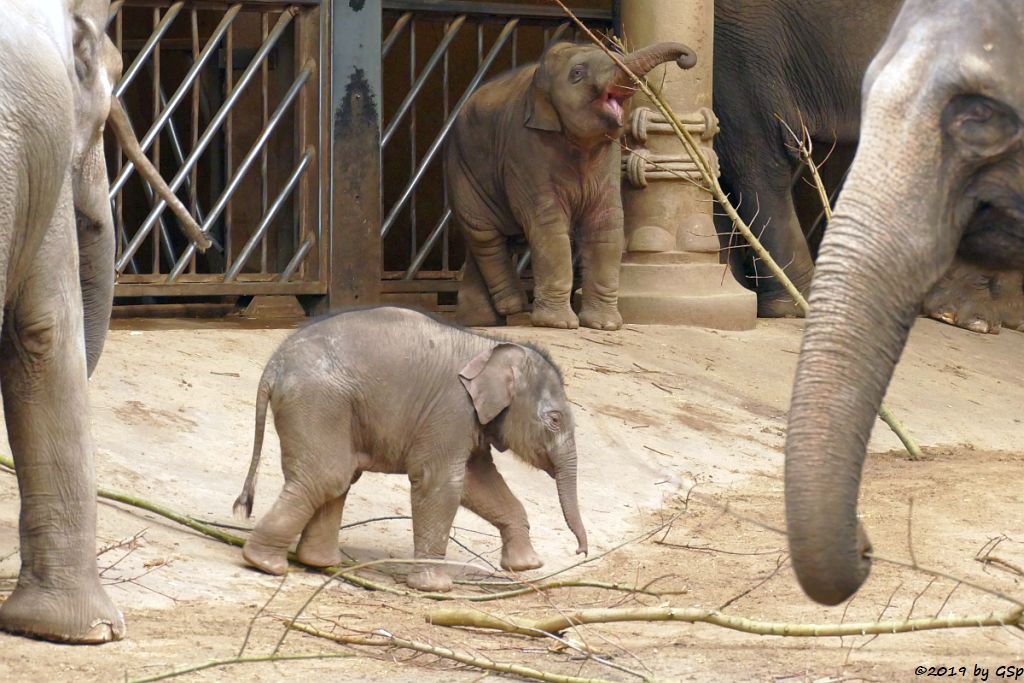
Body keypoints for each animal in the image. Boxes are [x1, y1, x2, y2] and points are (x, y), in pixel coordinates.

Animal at [232, 307, 585, 589]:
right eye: (554, 420)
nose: (580, 551)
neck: (488, 346)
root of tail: (273, 366)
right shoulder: (451, 408)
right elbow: (442, 482)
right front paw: (435, 588)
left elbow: (478, 483)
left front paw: (527, 565)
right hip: (319, 403)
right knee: (327, 477)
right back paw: (265, 564)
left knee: (337, 478)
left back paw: (318, 563)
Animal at [448, 40, 696, 333]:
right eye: (577, 73)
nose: (686, 59)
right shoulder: (525, 149)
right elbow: (548, 226)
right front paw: (559, 324)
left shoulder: (608, 158)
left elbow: (606, 223)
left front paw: (605, 325)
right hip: (463, 171)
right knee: (485, 236)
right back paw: (512, 306)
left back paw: (480, 321)